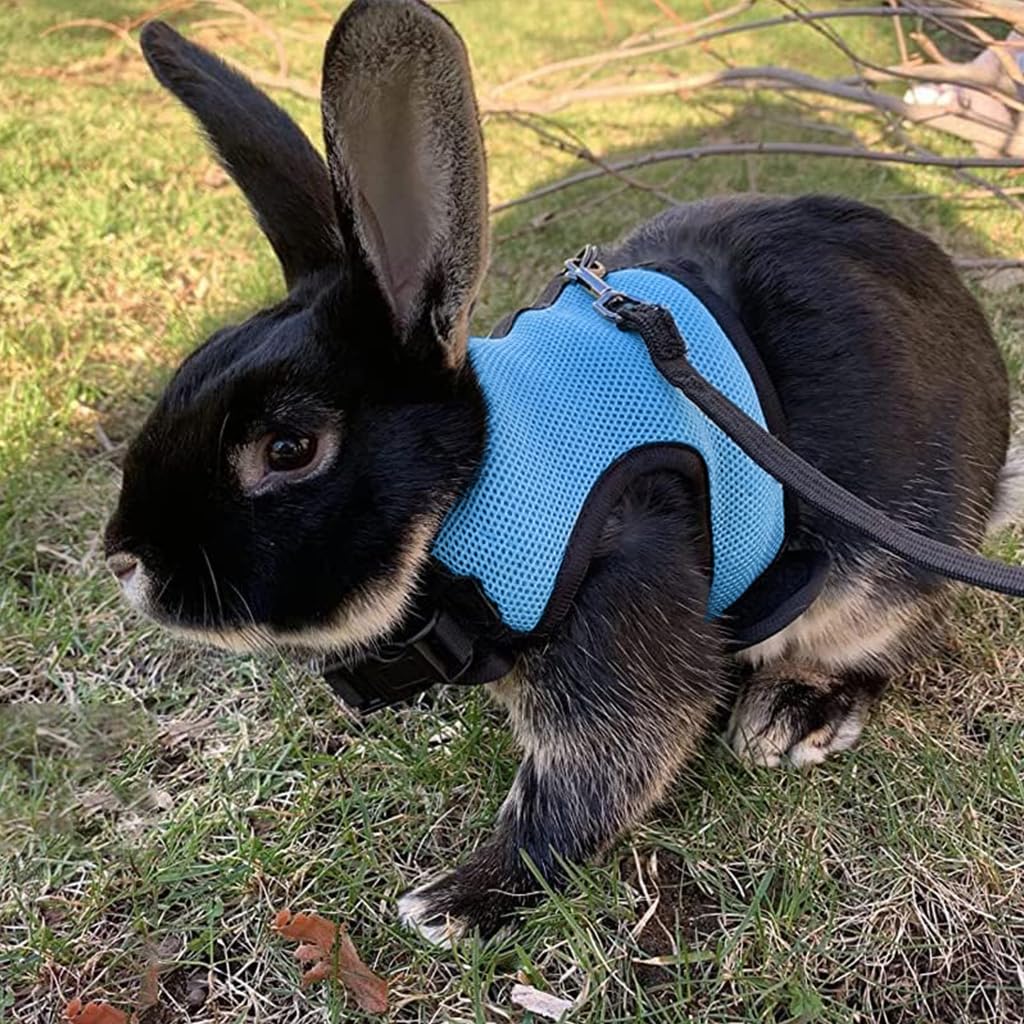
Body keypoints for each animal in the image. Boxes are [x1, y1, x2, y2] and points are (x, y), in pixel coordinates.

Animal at [105, 0, 1013, 945]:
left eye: (288, 450)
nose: (124, 559)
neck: (472, 491)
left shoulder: (619, 602)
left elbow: (588, 784)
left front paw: (456, 903)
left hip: (876, 572)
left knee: (887, 641)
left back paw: (794, 713)